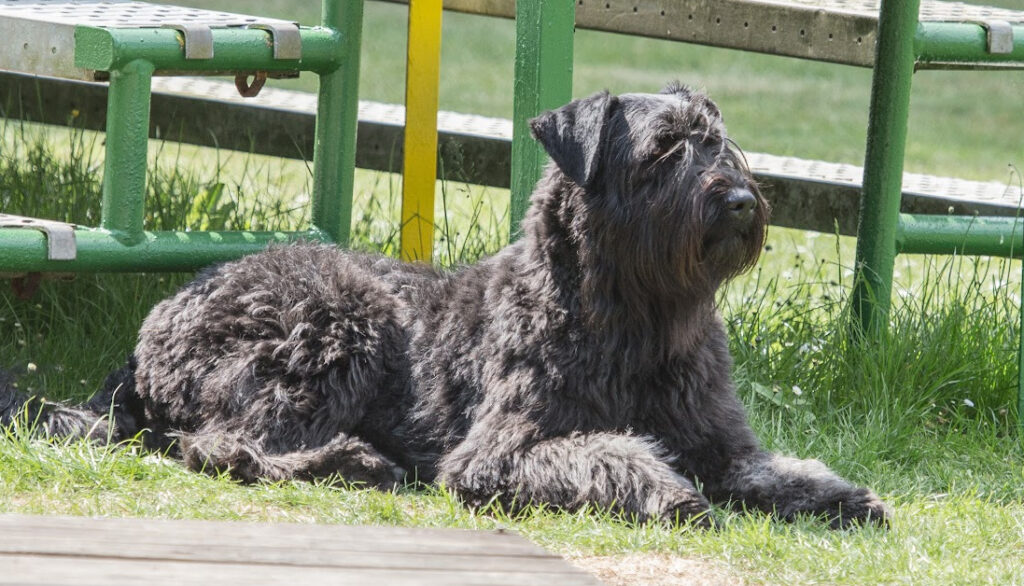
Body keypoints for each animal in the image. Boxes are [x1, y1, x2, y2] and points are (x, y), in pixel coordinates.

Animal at [2, 84, 888, 528]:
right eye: (665, 148)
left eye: (718, 139)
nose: (740, 200)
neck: (638, 320)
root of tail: (153, 326)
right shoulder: (499, 454)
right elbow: (609, 454)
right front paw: (667, 493)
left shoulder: (720, 444)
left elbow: (771, 469)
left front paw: (842, 496)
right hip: (328, 332)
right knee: (224, 446)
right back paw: (351, 462)